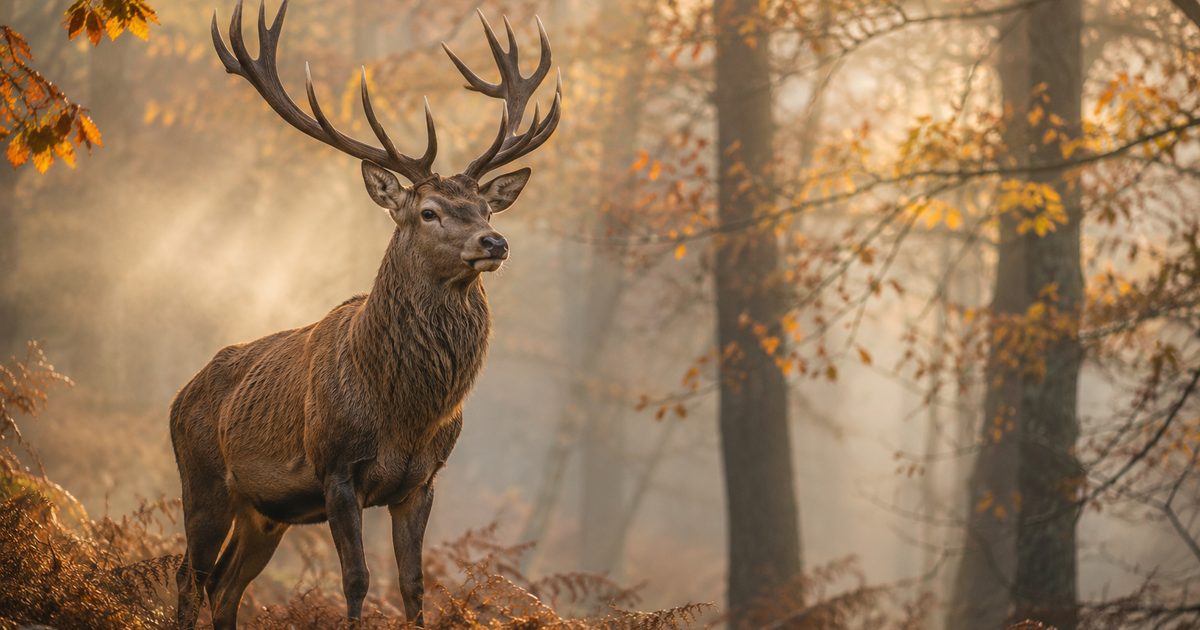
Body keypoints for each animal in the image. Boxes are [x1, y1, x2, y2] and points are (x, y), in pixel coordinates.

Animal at [169, 2, 560, 627]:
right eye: (429, 211)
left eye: (485, 207)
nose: (494, 242)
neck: (404, 411)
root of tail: (179, 396)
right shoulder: (336, 469)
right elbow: (356, 580)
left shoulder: (422, 482)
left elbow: (413, 585)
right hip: (201, 477)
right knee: (191, 574)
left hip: (265, 512)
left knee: (225, 586)